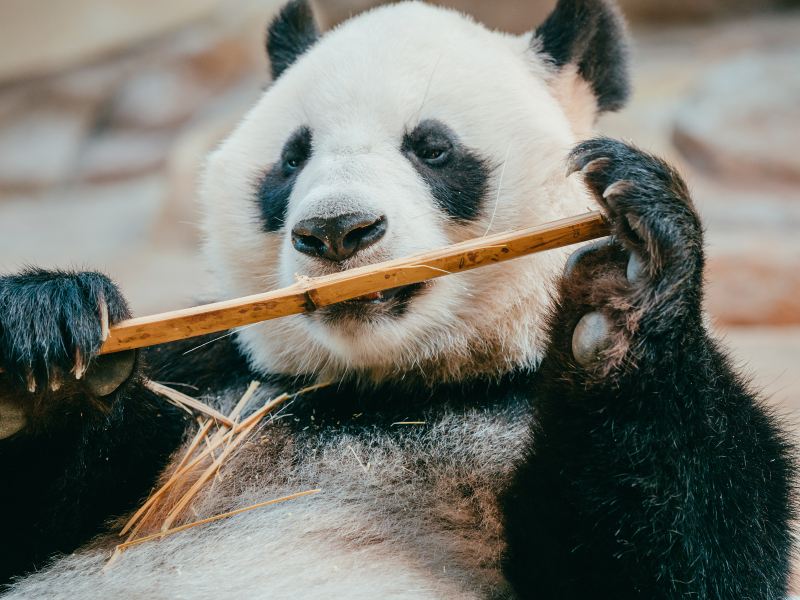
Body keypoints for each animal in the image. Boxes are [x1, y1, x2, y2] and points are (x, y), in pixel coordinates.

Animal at [0, 0, 792, 596]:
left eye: (432, 148)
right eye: (292, 158)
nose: (336, 230)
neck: (382, 391)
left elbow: (684, 551)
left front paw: (620, 289)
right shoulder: (210, 375)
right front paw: (49, 349)